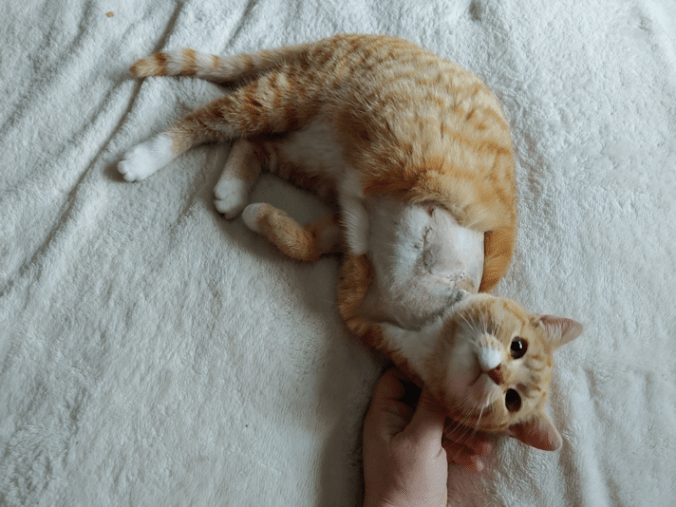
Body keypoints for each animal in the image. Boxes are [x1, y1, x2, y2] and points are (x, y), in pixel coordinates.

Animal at [119, 34, 582, 451]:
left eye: (512, 399)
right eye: (517, 346)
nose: (498, 373)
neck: (421, 320)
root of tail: (348, 38)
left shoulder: (346, 244)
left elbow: (303, 244)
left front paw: (259, 215)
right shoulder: (423, 220)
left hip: (308, 155)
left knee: (254, 142)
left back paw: (232, 191)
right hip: (289, 95)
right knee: (210, 118)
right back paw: (145, 156)